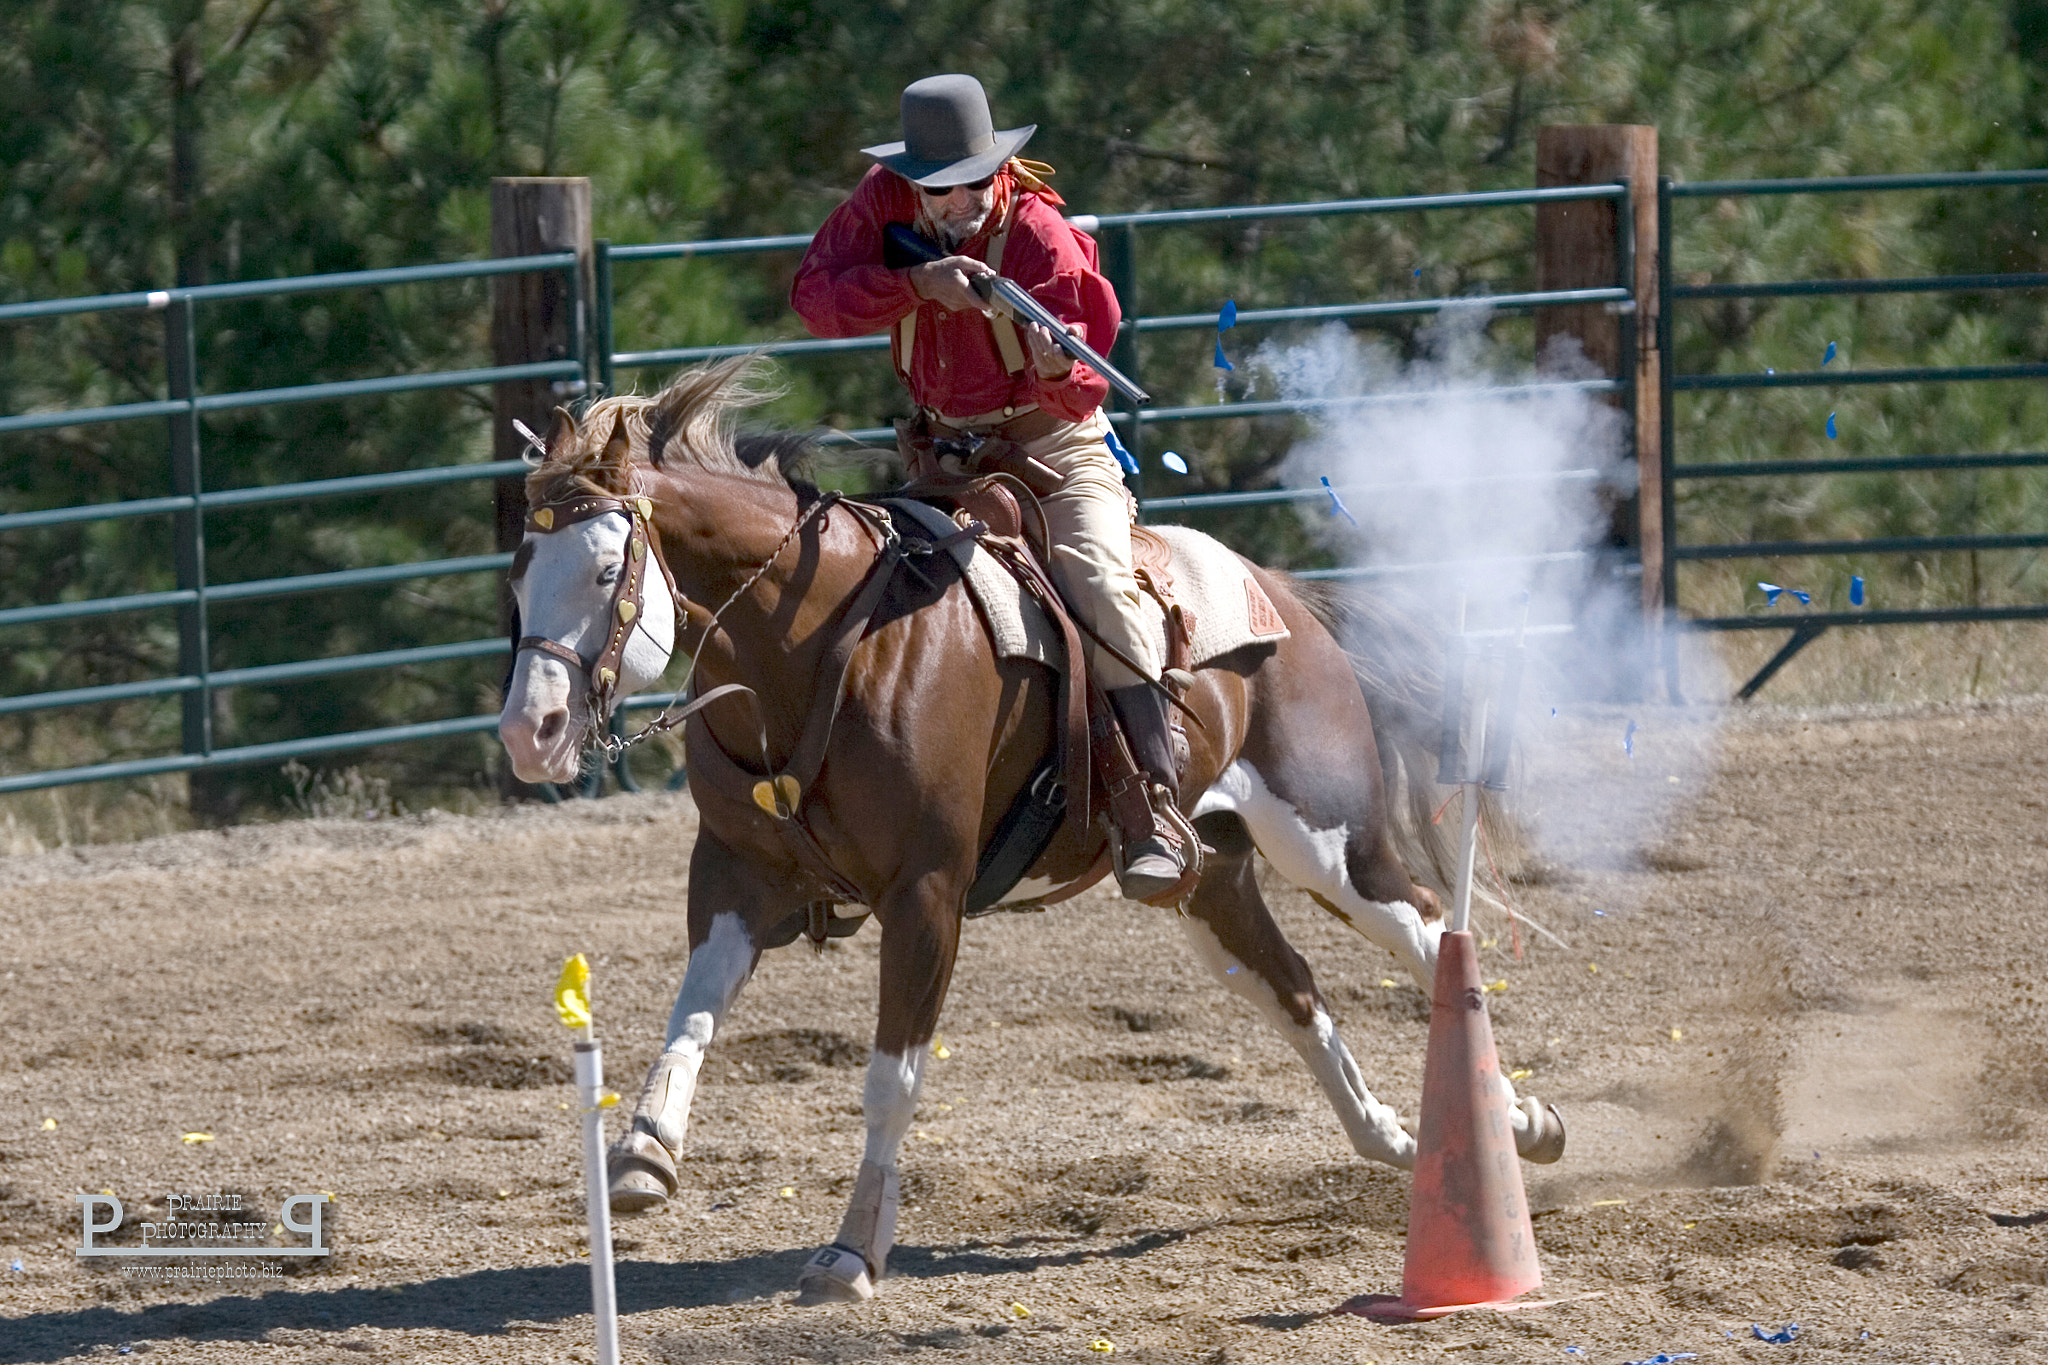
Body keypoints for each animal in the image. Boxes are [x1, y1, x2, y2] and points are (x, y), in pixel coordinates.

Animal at [503, 358, 1556, 1309]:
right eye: (517, 576)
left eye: (606, 568)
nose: (529, 732)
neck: (820, 646)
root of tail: (1283, 594)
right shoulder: (733, 874)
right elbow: (690, 1015)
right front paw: (641, 1156)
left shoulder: (925, 897)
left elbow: (891, 1080)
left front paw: (850, 1253)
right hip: (1209, 880)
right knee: (1292, 986)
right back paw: (1403, 1137)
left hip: (1332, 841)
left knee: (1426, 928)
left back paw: (1518, 1122)